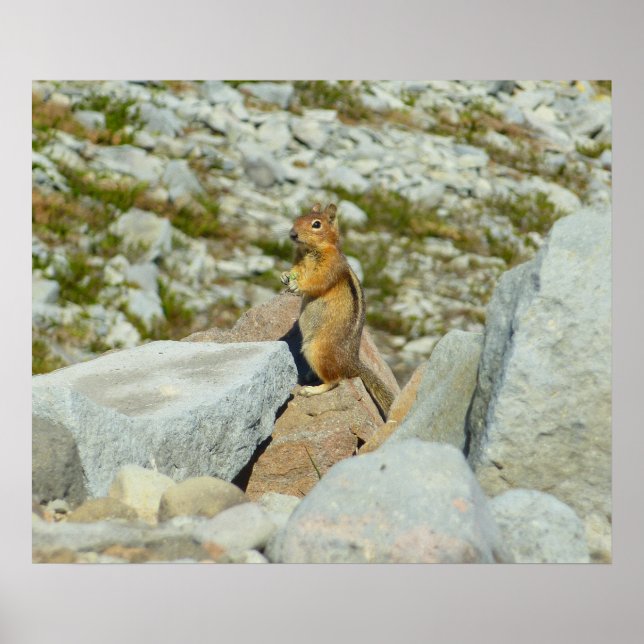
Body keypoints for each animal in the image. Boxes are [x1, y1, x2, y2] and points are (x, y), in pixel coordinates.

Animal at [280, 202, 396, 420]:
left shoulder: (329, 268)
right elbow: (295, 270)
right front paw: (285, 275)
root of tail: (353, 364)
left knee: (336, 381)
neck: (310, 250)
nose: (292, 234)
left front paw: (297, 286)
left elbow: (316, 282)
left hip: (316, 349)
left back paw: (311, 390)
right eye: (298, 218)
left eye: (316, 224)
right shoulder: (298, 261)